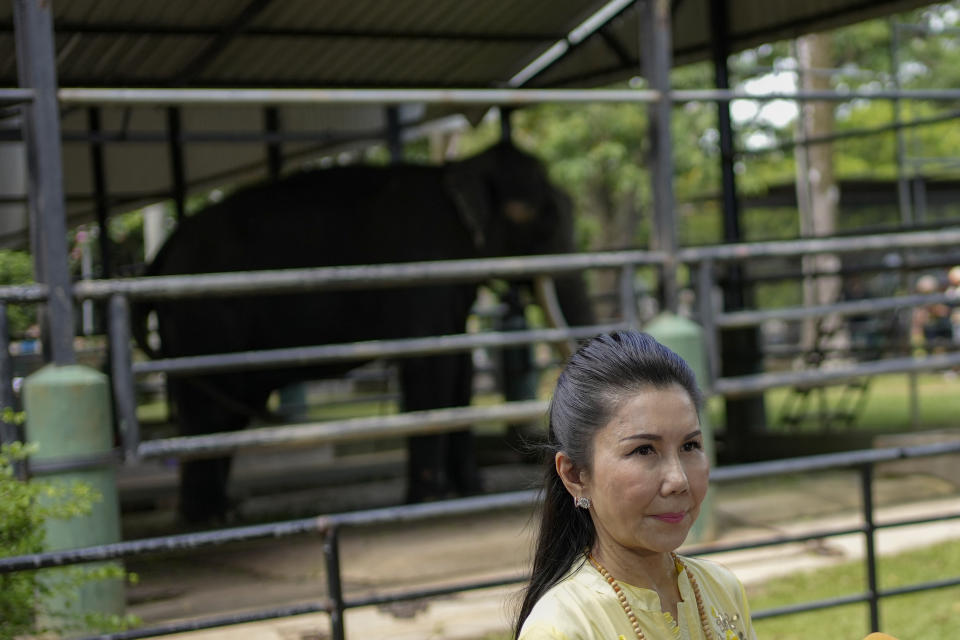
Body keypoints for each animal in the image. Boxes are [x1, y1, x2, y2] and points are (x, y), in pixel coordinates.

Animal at [131, 142, 588, 524]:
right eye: (539, 216)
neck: (454, 170)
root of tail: (159, 254)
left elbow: (459, 367)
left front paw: (471, 491)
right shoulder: (420, 268)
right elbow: (431, 364)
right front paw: (430, 499)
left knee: (224, 411)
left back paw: (223, 512)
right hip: (200, 317)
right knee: (206, 410)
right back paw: (206, 519)